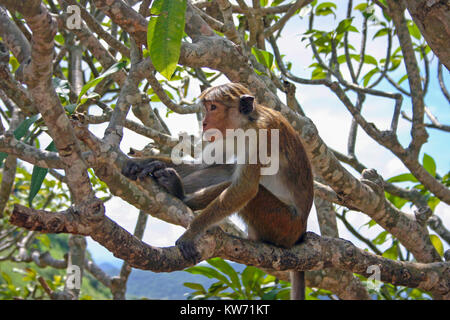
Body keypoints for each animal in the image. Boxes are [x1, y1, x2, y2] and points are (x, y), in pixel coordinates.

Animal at [123, 83, 312, 300]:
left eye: (213, 107)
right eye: (206, 108)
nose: (204, 123)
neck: (245, 125)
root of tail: (300, 232)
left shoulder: (262, 134)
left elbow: (246, 188)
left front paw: (193, 231)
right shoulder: (225, 136)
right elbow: (203, 165)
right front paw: (143, 162)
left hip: (281, 224)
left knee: (250, 190)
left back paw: (181, 195)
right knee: (226, 170)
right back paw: (175, 188)